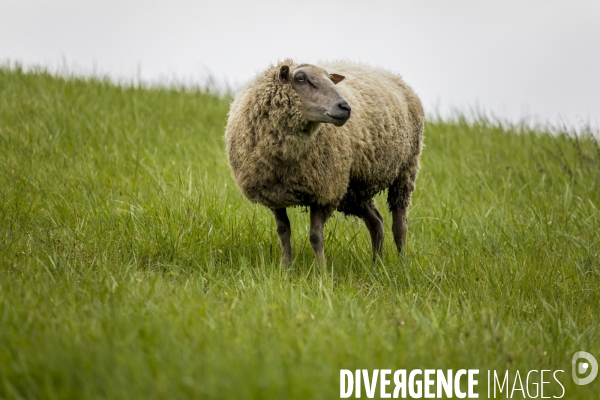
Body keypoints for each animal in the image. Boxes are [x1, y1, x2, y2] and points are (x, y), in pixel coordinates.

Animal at [223, 60, 424, 268]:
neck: (285, 157)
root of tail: (392, 75)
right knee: (376, 222)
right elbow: (283, 233)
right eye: (300, 78)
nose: (345, 107)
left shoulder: (324, 193)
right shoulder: (275, 196)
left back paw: (402, 265)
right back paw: (376, 265)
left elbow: (315, 237)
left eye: (330, 79)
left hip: (405, 171)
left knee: (399, 225)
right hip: (354, 189)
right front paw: (286, 269)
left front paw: (322, 271)